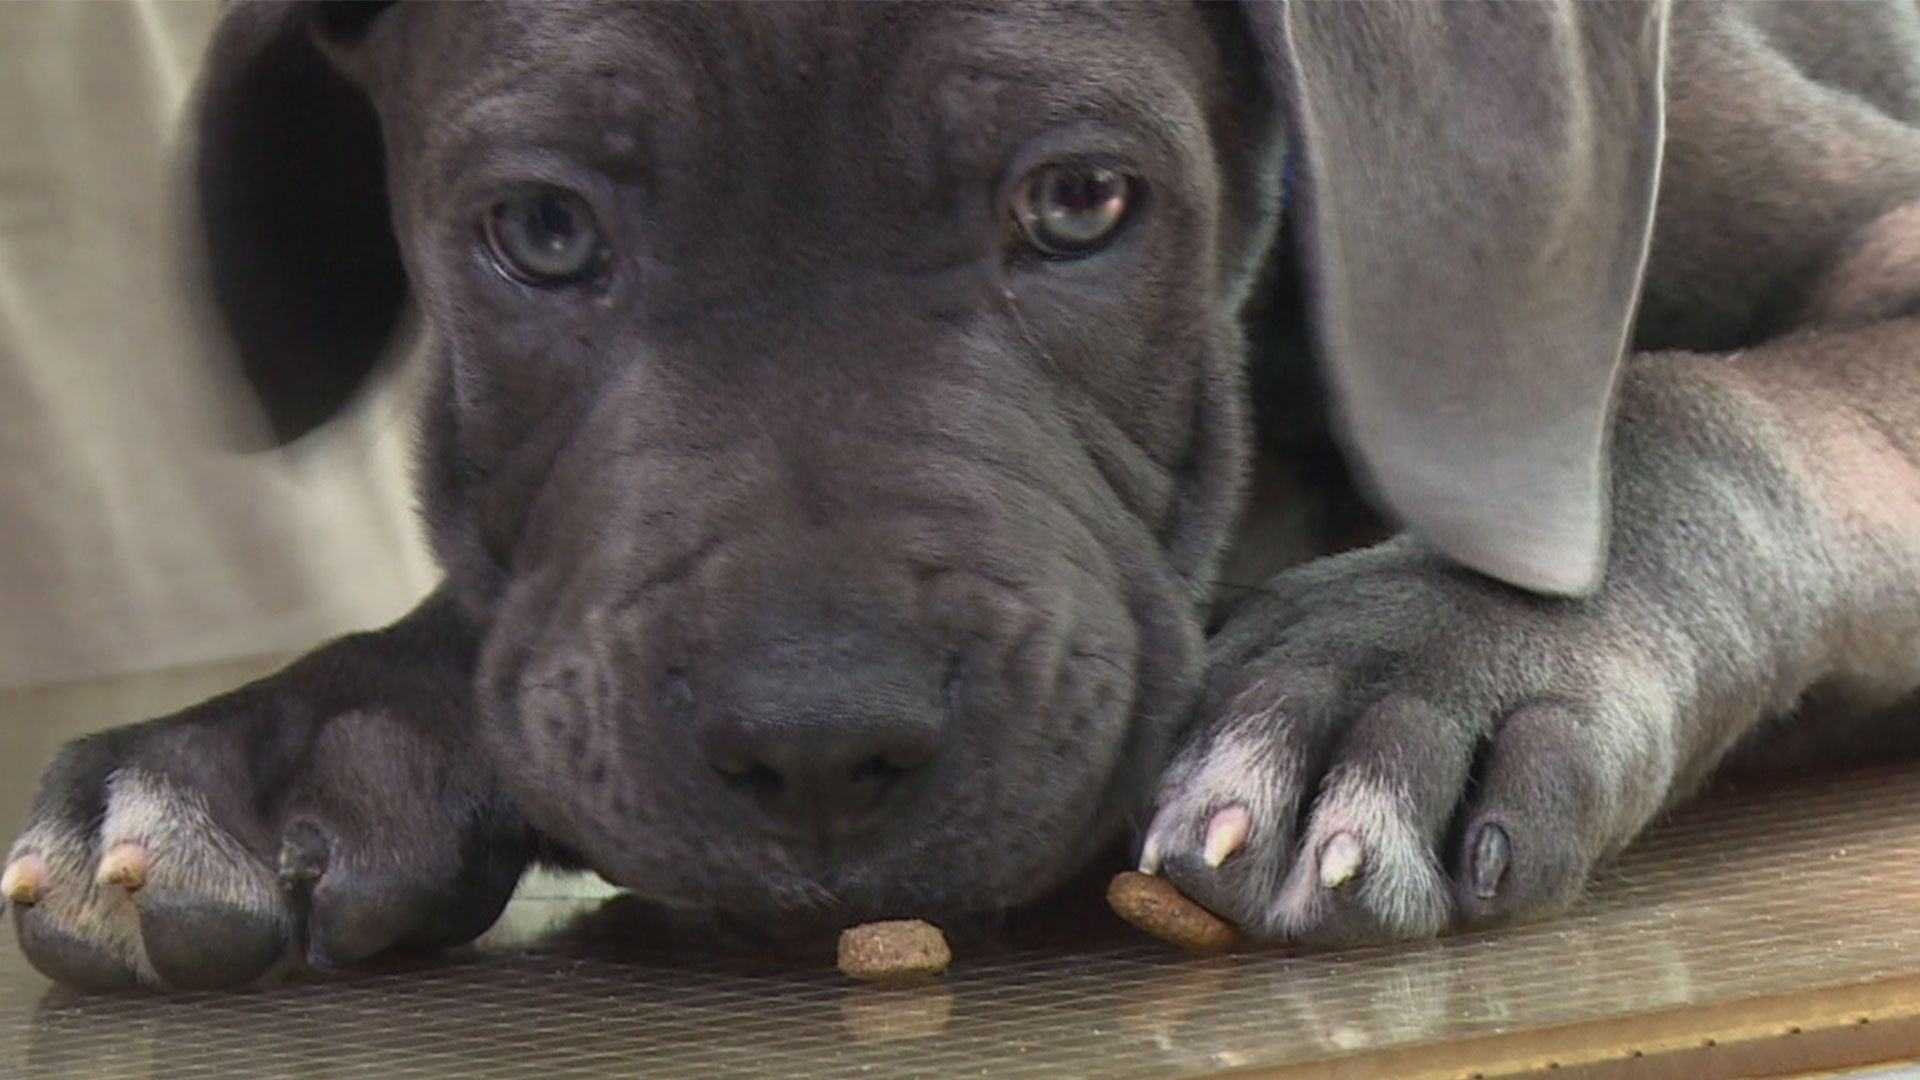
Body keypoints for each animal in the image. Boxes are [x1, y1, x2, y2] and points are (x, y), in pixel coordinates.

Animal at [3, 0, 1920, 991]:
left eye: (1078, 200)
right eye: (542, 232)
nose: (817, 749)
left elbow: (1690, 416)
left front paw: (1406, 673)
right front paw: (284, 743)